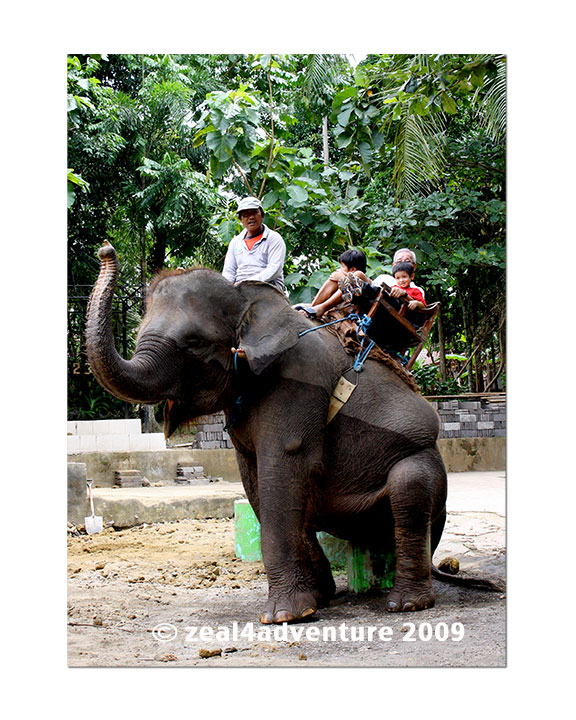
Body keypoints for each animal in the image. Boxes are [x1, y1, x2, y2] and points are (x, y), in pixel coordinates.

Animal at [86, 242, 470, 624]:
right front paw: (314, 601)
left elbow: (282, 469)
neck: (249, 301)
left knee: (410, 488)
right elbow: (256, 482)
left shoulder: (298, 384)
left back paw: (406, 603)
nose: (105, 249)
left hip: (425, 463)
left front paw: (283, 616)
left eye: (194, 343)